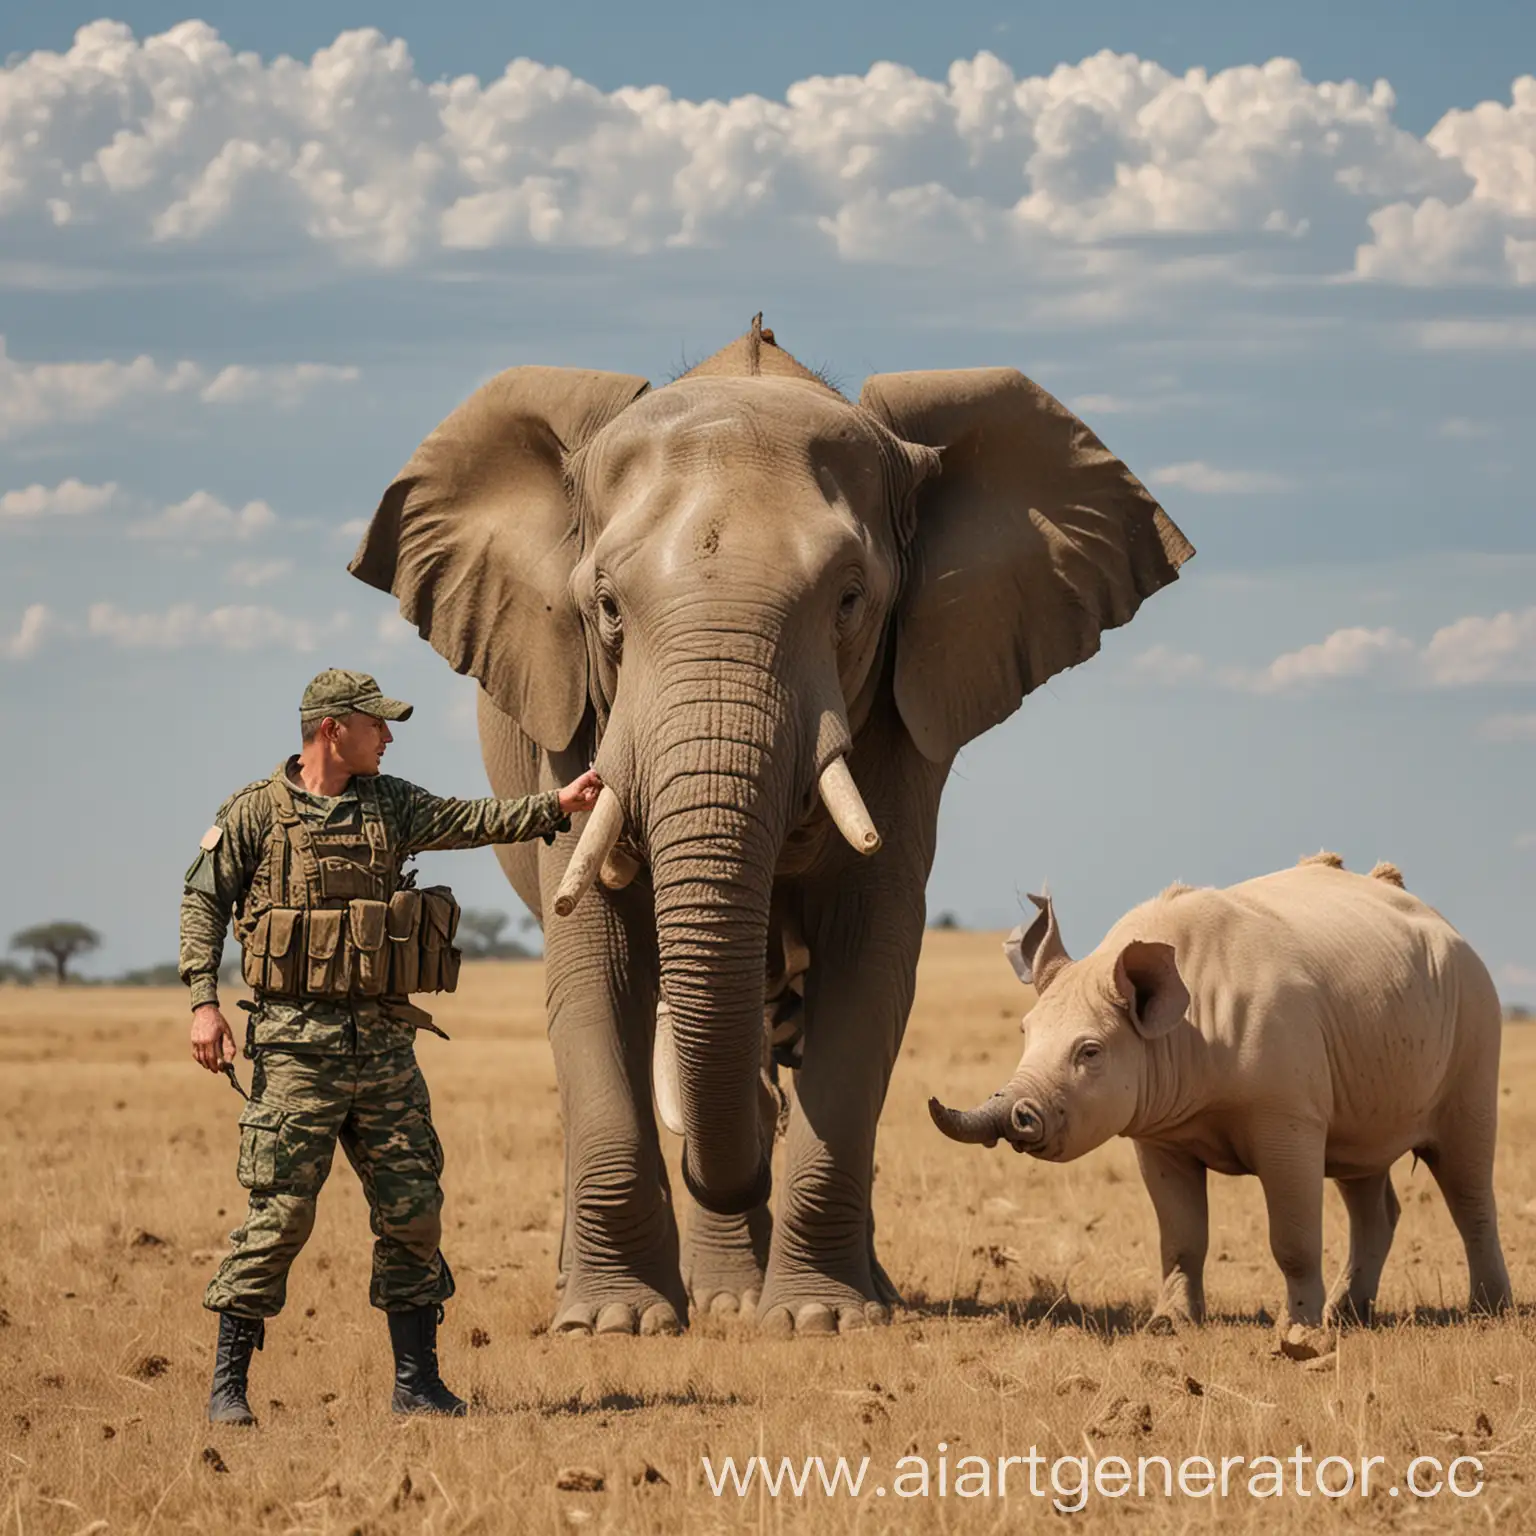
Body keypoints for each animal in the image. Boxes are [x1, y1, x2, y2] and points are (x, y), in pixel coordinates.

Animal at [351, 317, 1198, 1339]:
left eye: (850, 601)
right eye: (605, 608)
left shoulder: (905, 714)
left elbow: (870, 964)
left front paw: (821, 1320)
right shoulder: (567, 720)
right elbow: (592, 961)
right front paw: (615, 1325)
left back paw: (805, 1290)